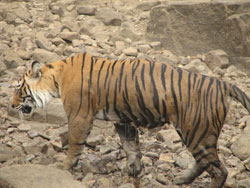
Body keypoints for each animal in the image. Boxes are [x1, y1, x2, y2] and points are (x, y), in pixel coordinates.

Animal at [11, 51, 250, 188]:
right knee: (205, 162)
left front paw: (64, 166)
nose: (12, 106)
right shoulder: (123, 120)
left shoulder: (80, 116)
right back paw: (182, 179)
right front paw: (134, 171)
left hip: (197, 131)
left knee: (219, 170)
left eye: (18, 88)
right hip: (192, 132)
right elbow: (131, 147)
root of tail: (222, 83)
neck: (56, 79)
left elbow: (74, 144)